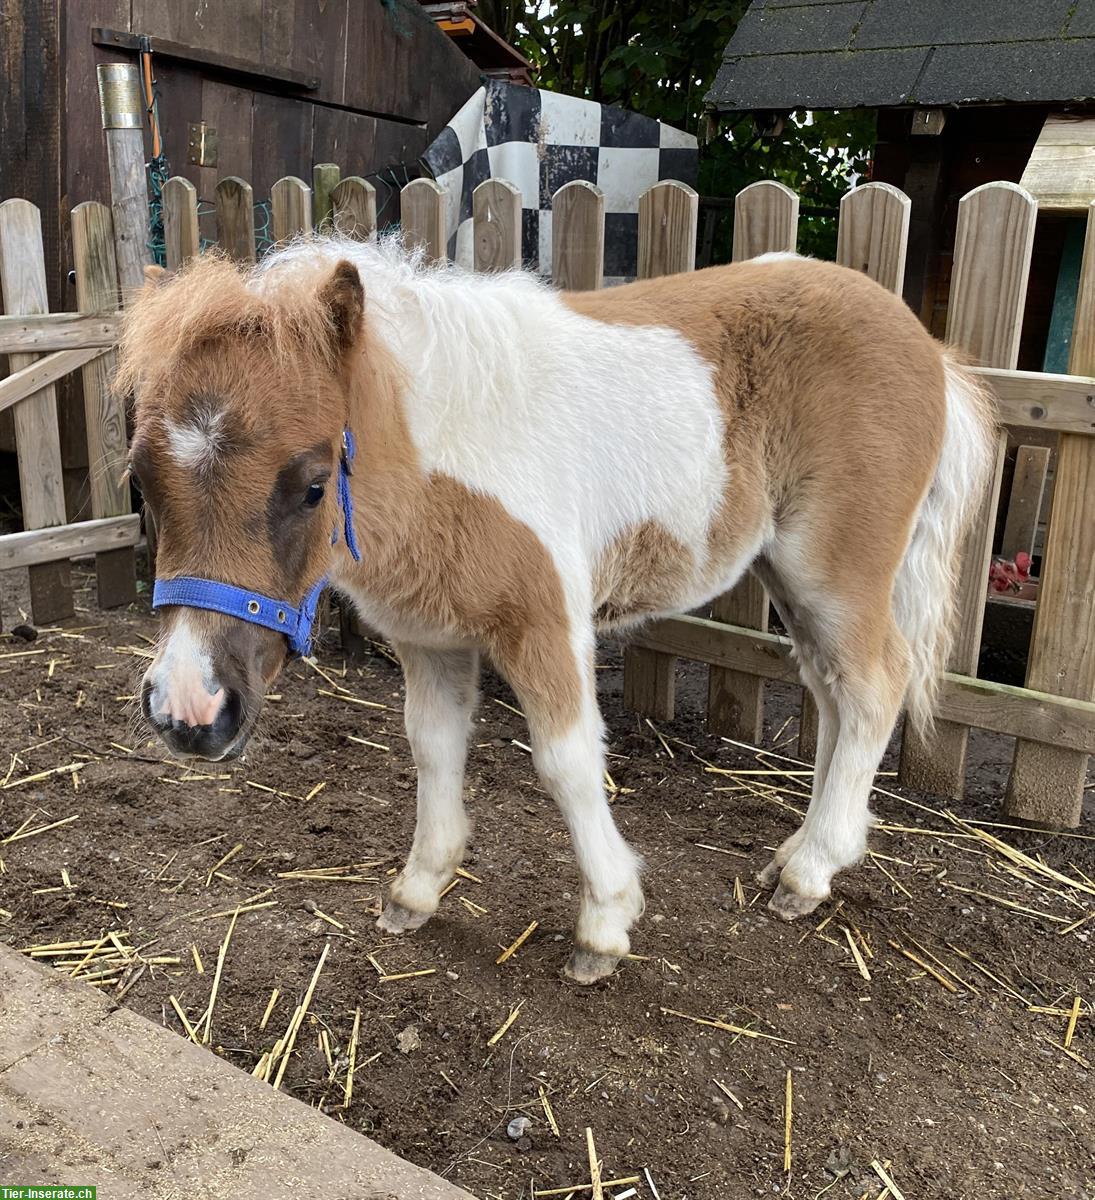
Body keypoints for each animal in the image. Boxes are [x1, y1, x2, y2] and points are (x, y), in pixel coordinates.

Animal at [120, 236, 994, 984]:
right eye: (141, 481)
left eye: (309, 484)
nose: (188, 711)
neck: (442, 452)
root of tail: (929, 347)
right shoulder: (430, 637)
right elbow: (432, 746)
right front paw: (417, 889)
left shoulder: (544, 624)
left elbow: (568, 762)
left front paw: (604, 924)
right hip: (791, 573)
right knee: (832, 692)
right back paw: (799, 851)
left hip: (834, 570)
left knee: (873, 686)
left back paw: (810, 871)